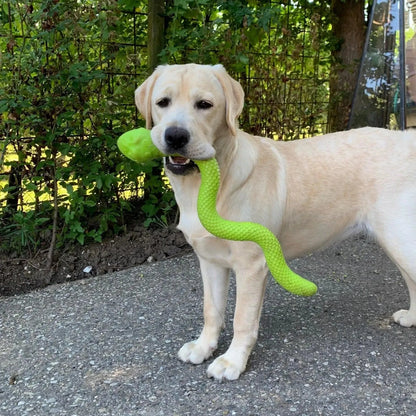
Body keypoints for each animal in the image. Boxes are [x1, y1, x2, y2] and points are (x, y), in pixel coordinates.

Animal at [136, 62, 416, 380]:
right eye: (162, 102)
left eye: (204, 104)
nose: (175, 136)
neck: (210, 185)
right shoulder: (210, 261)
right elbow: (212, 310)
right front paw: (203, 346)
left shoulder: (252, 265)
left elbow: (242, 318)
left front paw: (232, 361)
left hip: (401, 241)